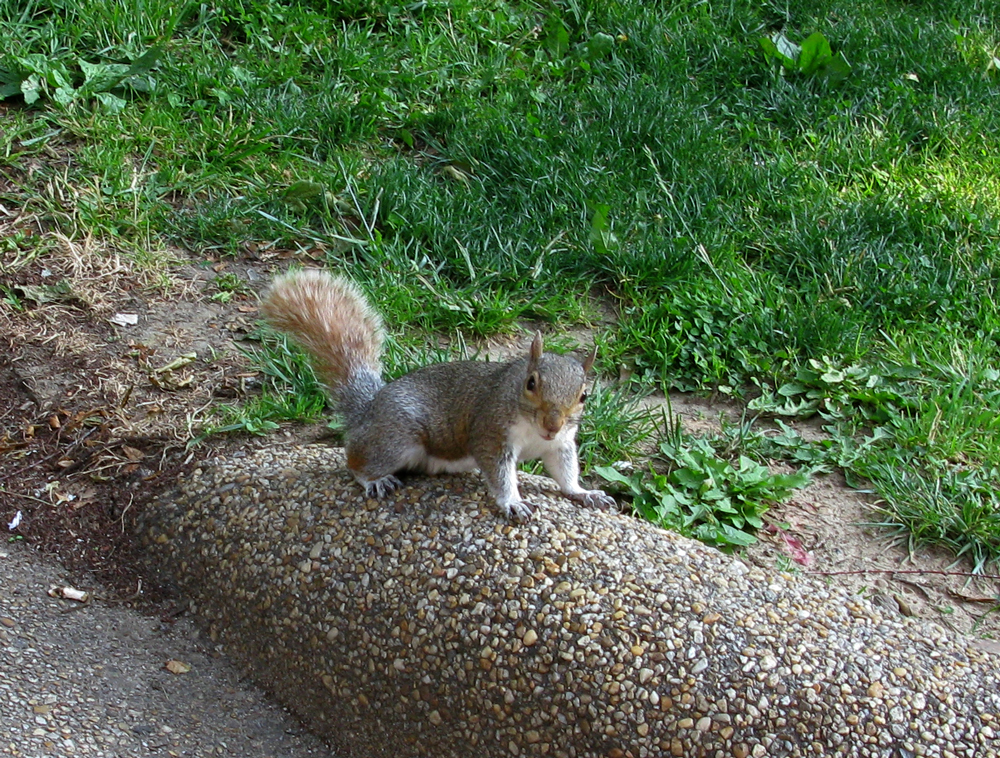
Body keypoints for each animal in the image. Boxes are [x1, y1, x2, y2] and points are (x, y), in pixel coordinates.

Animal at [260, 269, 616, 521]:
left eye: (584, 396)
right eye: (531, 383)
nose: (552, 424)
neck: (532, 429)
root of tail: (368, 409)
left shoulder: (560, 445)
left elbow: (565, 472)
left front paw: (584, 493)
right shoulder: (491, 432)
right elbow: (500, 474)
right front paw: (512, 502)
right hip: (397, 437)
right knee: (356, 460)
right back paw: (374, 479)